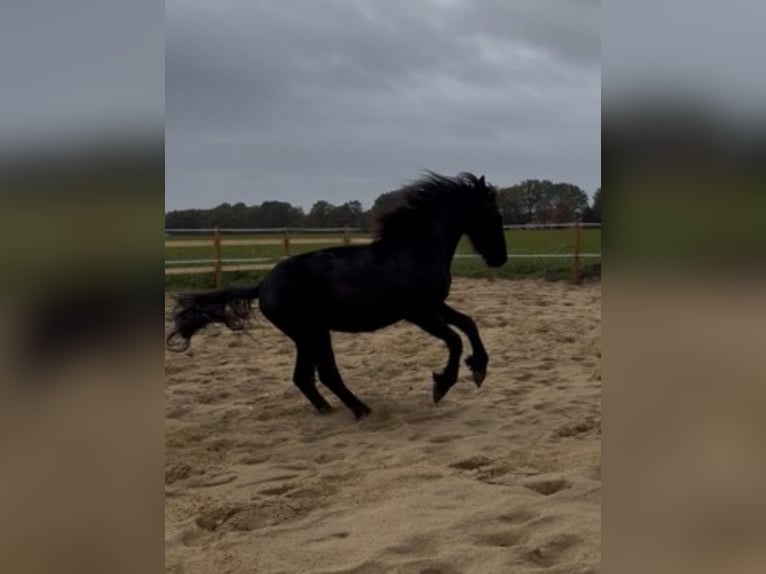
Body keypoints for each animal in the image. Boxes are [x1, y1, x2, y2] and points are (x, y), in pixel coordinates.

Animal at [166, 171, 508, 419]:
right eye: (493, 215)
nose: (500, 258)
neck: (414, 251)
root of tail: (263, 286)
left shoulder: (435, 304)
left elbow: (469, 324)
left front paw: (479, 369)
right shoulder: (418, 312)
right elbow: (455, 339)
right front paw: (442, 385)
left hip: (306, 336)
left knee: (303, 377)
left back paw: (329, 409)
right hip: (313, 332)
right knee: (326, 374)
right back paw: (361, 410)